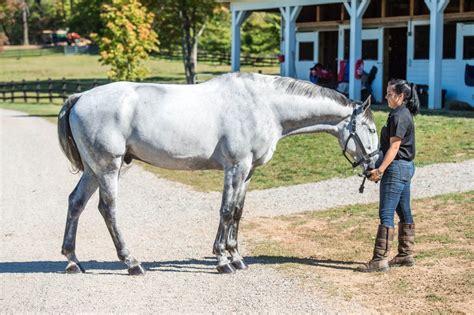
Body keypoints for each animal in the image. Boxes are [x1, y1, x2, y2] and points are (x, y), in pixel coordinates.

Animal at [57, 73, 380, 276]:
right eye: (372, 129)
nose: (374, 167)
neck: (264, 105)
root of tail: (80, 96)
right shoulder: (235, 166)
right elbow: (225, 210)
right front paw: (223, 260)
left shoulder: (248, 172)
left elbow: (237, 212)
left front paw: (237, 258)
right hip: (109, 167)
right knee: (107, 209)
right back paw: (131, 262)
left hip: (93, 170)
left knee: (75, 203)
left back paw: (73, 261)